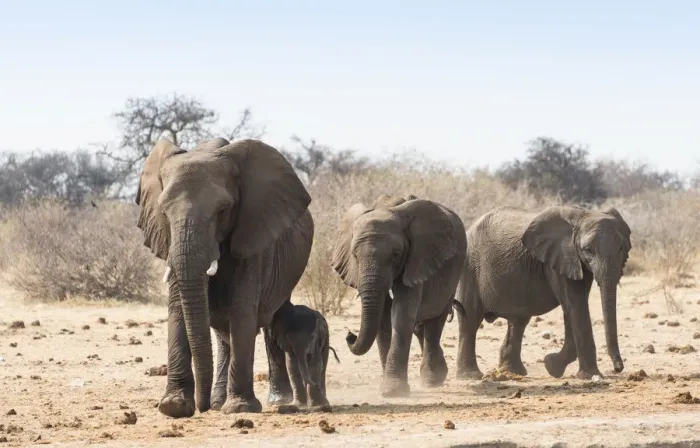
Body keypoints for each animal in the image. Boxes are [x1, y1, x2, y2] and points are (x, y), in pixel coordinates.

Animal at [135, 137, 314, 417]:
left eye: (223, 210)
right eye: (163, 211)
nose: (203, 407)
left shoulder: (252, 231)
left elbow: (241, 309)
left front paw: (240, 408)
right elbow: (177, 308)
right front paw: (174, 407)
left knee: (272, 319)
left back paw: (277, 400)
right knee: (223, 334)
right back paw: (220, 401)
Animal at [331, 194, 467, 397]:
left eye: (396, 255)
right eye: (354, 255)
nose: (350, 335)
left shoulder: (416, 259)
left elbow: (402, 313)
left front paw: (392, 391)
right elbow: (383, 318)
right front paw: (387, 387)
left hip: (454, 271)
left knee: (435, 322)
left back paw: (432, 381)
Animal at [453, 205, 631, 380]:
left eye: (622, 248)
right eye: (588, 250)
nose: (618, 368)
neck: (582, 214)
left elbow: (572, 307)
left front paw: (552, 365)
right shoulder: (559, 260)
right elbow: (575, 304)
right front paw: (587, 375)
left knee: (518, 320)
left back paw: (512, 372)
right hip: (469, 266)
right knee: (470, 318)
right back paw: (471, 376)